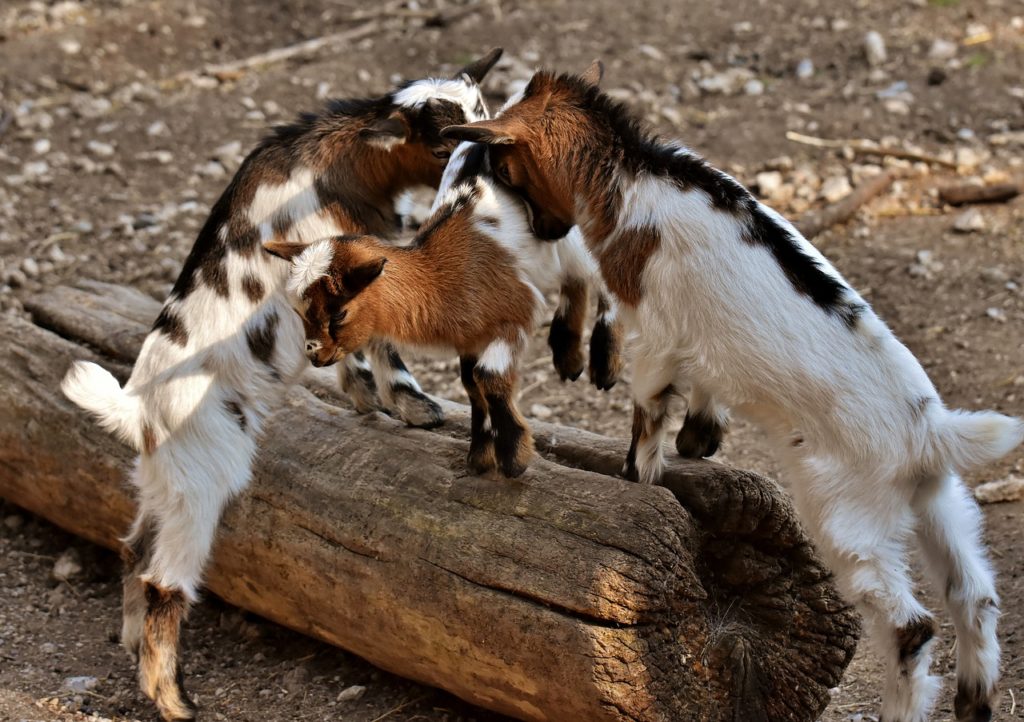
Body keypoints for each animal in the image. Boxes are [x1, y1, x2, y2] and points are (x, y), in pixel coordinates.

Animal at [58, 50, 501, 720]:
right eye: (445, 137)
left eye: (485, 112)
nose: (491, 160)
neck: (340, 161)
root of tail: (137, 414)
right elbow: (380, 336)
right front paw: (413, 406)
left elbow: (351, 344)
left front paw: (365, 397)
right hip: (204, 490)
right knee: (165, 584)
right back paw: (175, 702)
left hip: (166, 489)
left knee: (134, 552)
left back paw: (133, 649)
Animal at [446, 60, 1024, 720]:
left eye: (503, 165)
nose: (547, 228)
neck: (632, 176)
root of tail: (928, 431)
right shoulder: (699, 339)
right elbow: (705, 382)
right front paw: (700, 438)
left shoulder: (656, 332)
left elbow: (647, 411)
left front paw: (640, 478)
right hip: (937, 502)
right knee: (974, 594)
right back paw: (975, 700)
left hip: (849, 520)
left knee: (912, 626)